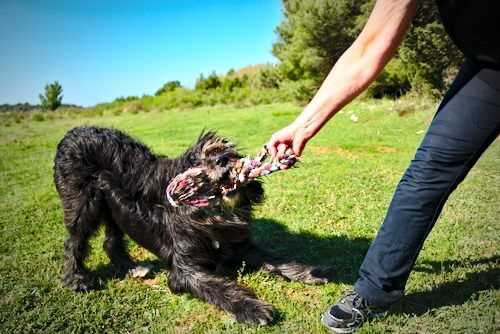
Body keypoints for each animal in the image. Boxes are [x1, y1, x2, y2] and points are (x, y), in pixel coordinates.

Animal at [54, 126, 330, 324]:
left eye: (222, 150)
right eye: (197, 162)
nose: (223, 159)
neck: (210, 218)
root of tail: (72, 132)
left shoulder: (241, 246)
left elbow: (274, 258)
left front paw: (307, 271)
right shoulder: (184, 270)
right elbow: (220, 288)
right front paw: (252, 308)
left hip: (113, 208)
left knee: (110, 241)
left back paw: (131, 268)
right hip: (83, 204)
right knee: (73, 241)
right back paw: (76, 279)